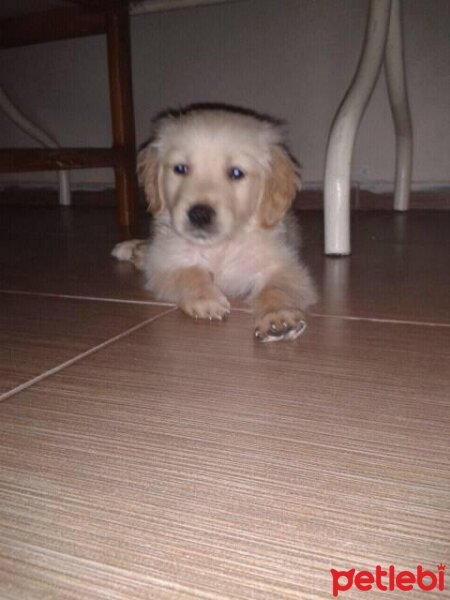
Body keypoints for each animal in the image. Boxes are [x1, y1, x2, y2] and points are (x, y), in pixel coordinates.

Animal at [112, 106, 316, 342]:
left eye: (236, 173)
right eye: (180, 168)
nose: (199, 214)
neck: (220, 247)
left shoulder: (285, 266)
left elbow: (277, 287)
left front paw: (277, 317)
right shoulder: (164, 263)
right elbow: (189, 272)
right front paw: (204, 299)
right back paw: (133, 249)